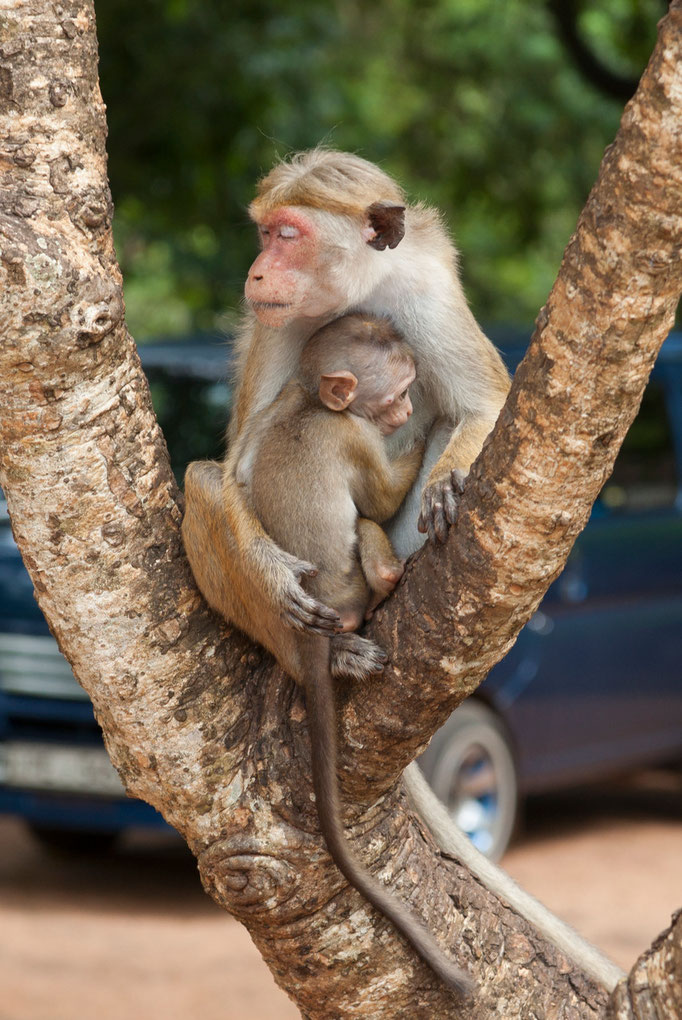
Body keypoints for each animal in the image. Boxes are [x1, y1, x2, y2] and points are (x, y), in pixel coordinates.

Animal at [179, 147, 623, 991]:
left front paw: (446, 473)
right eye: (265, 232)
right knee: (204, 482)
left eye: (287, 234)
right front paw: (278, 577)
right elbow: (240, 462)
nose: (257, 270)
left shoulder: (423, 286)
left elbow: (481, 401)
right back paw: (317, 649)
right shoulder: (280, 326)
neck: (357, 288)